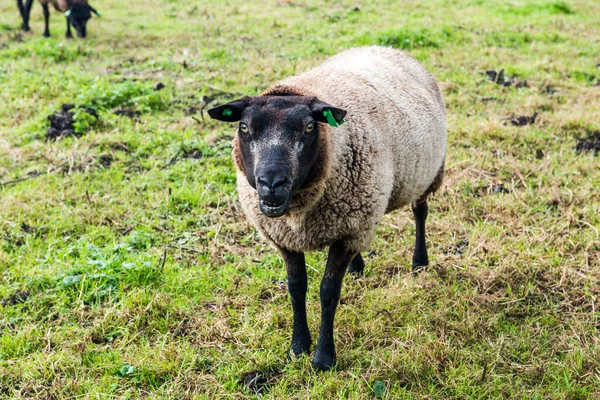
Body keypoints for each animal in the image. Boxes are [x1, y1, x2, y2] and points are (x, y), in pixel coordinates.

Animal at [206, 46, 446, 372]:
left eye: (309, 127)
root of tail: (383, 47)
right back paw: (357, 267)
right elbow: (296, 288)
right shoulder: (286, 238)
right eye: (244, 127)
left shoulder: (347, 233)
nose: (271, 183)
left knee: (420, 213)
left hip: (426, 174)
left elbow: (328, 292)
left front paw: (323, 357)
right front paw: (298, 347)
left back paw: (420, 261)